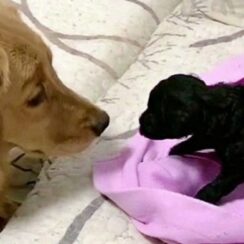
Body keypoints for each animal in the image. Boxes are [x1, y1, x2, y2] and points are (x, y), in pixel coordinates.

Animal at [139, 74, 244, 204]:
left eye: (154, 113)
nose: (140, 123)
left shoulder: (236, 167)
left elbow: (217, 186)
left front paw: (200, 200)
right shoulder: (206, 136)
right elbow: (191, 143)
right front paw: (173, 152)